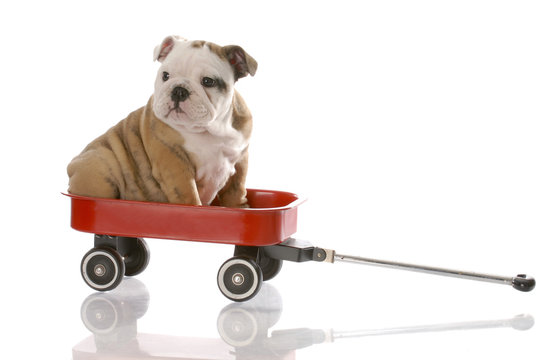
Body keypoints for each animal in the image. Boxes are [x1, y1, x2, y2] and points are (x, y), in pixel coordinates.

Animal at [68, 35, 258, 208]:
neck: (209, 129)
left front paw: (240, 208)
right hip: (98, 164)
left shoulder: (240, 160)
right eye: (165, 75)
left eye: (208, 81)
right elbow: (188, 194)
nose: (179, 90)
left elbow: (236, 189)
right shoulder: (174, 163)